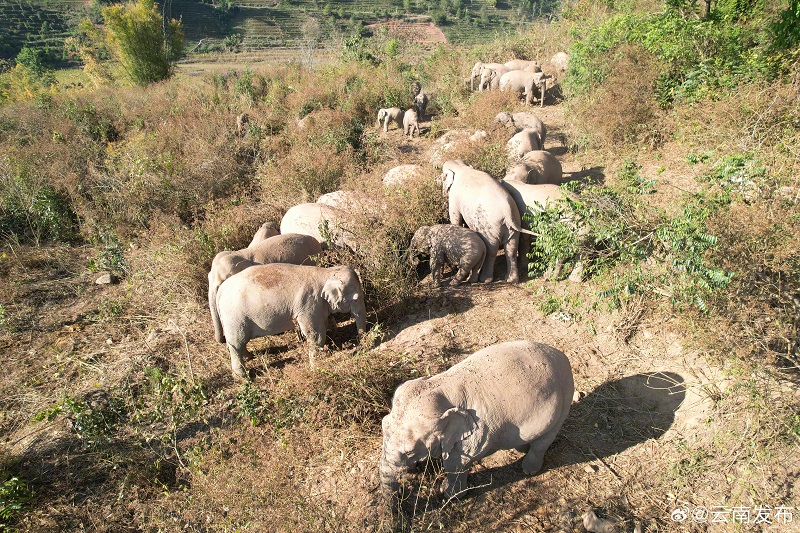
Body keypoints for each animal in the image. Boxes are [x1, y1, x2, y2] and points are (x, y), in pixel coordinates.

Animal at [214, 264, 368, 376]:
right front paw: (315, 367)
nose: (361, 345)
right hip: (234, 318)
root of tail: (220, 291)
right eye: (355, 299)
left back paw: (249, 357)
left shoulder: (318, 306)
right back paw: (243, 376)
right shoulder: (308, 305)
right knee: (236, 344)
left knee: (241, 342)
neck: (326, 273)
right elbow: (316, 335)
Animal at [382, 338, 576, 496]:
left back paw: (528, 470)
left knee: (544, 441)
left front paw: (449, 495)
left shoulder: (477, 431)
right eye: (383, 424)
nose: (402, 493)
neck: (441, 386)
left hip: (565, 396)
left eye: (410, 451)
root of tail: (559, 354)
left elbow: (456, 464)